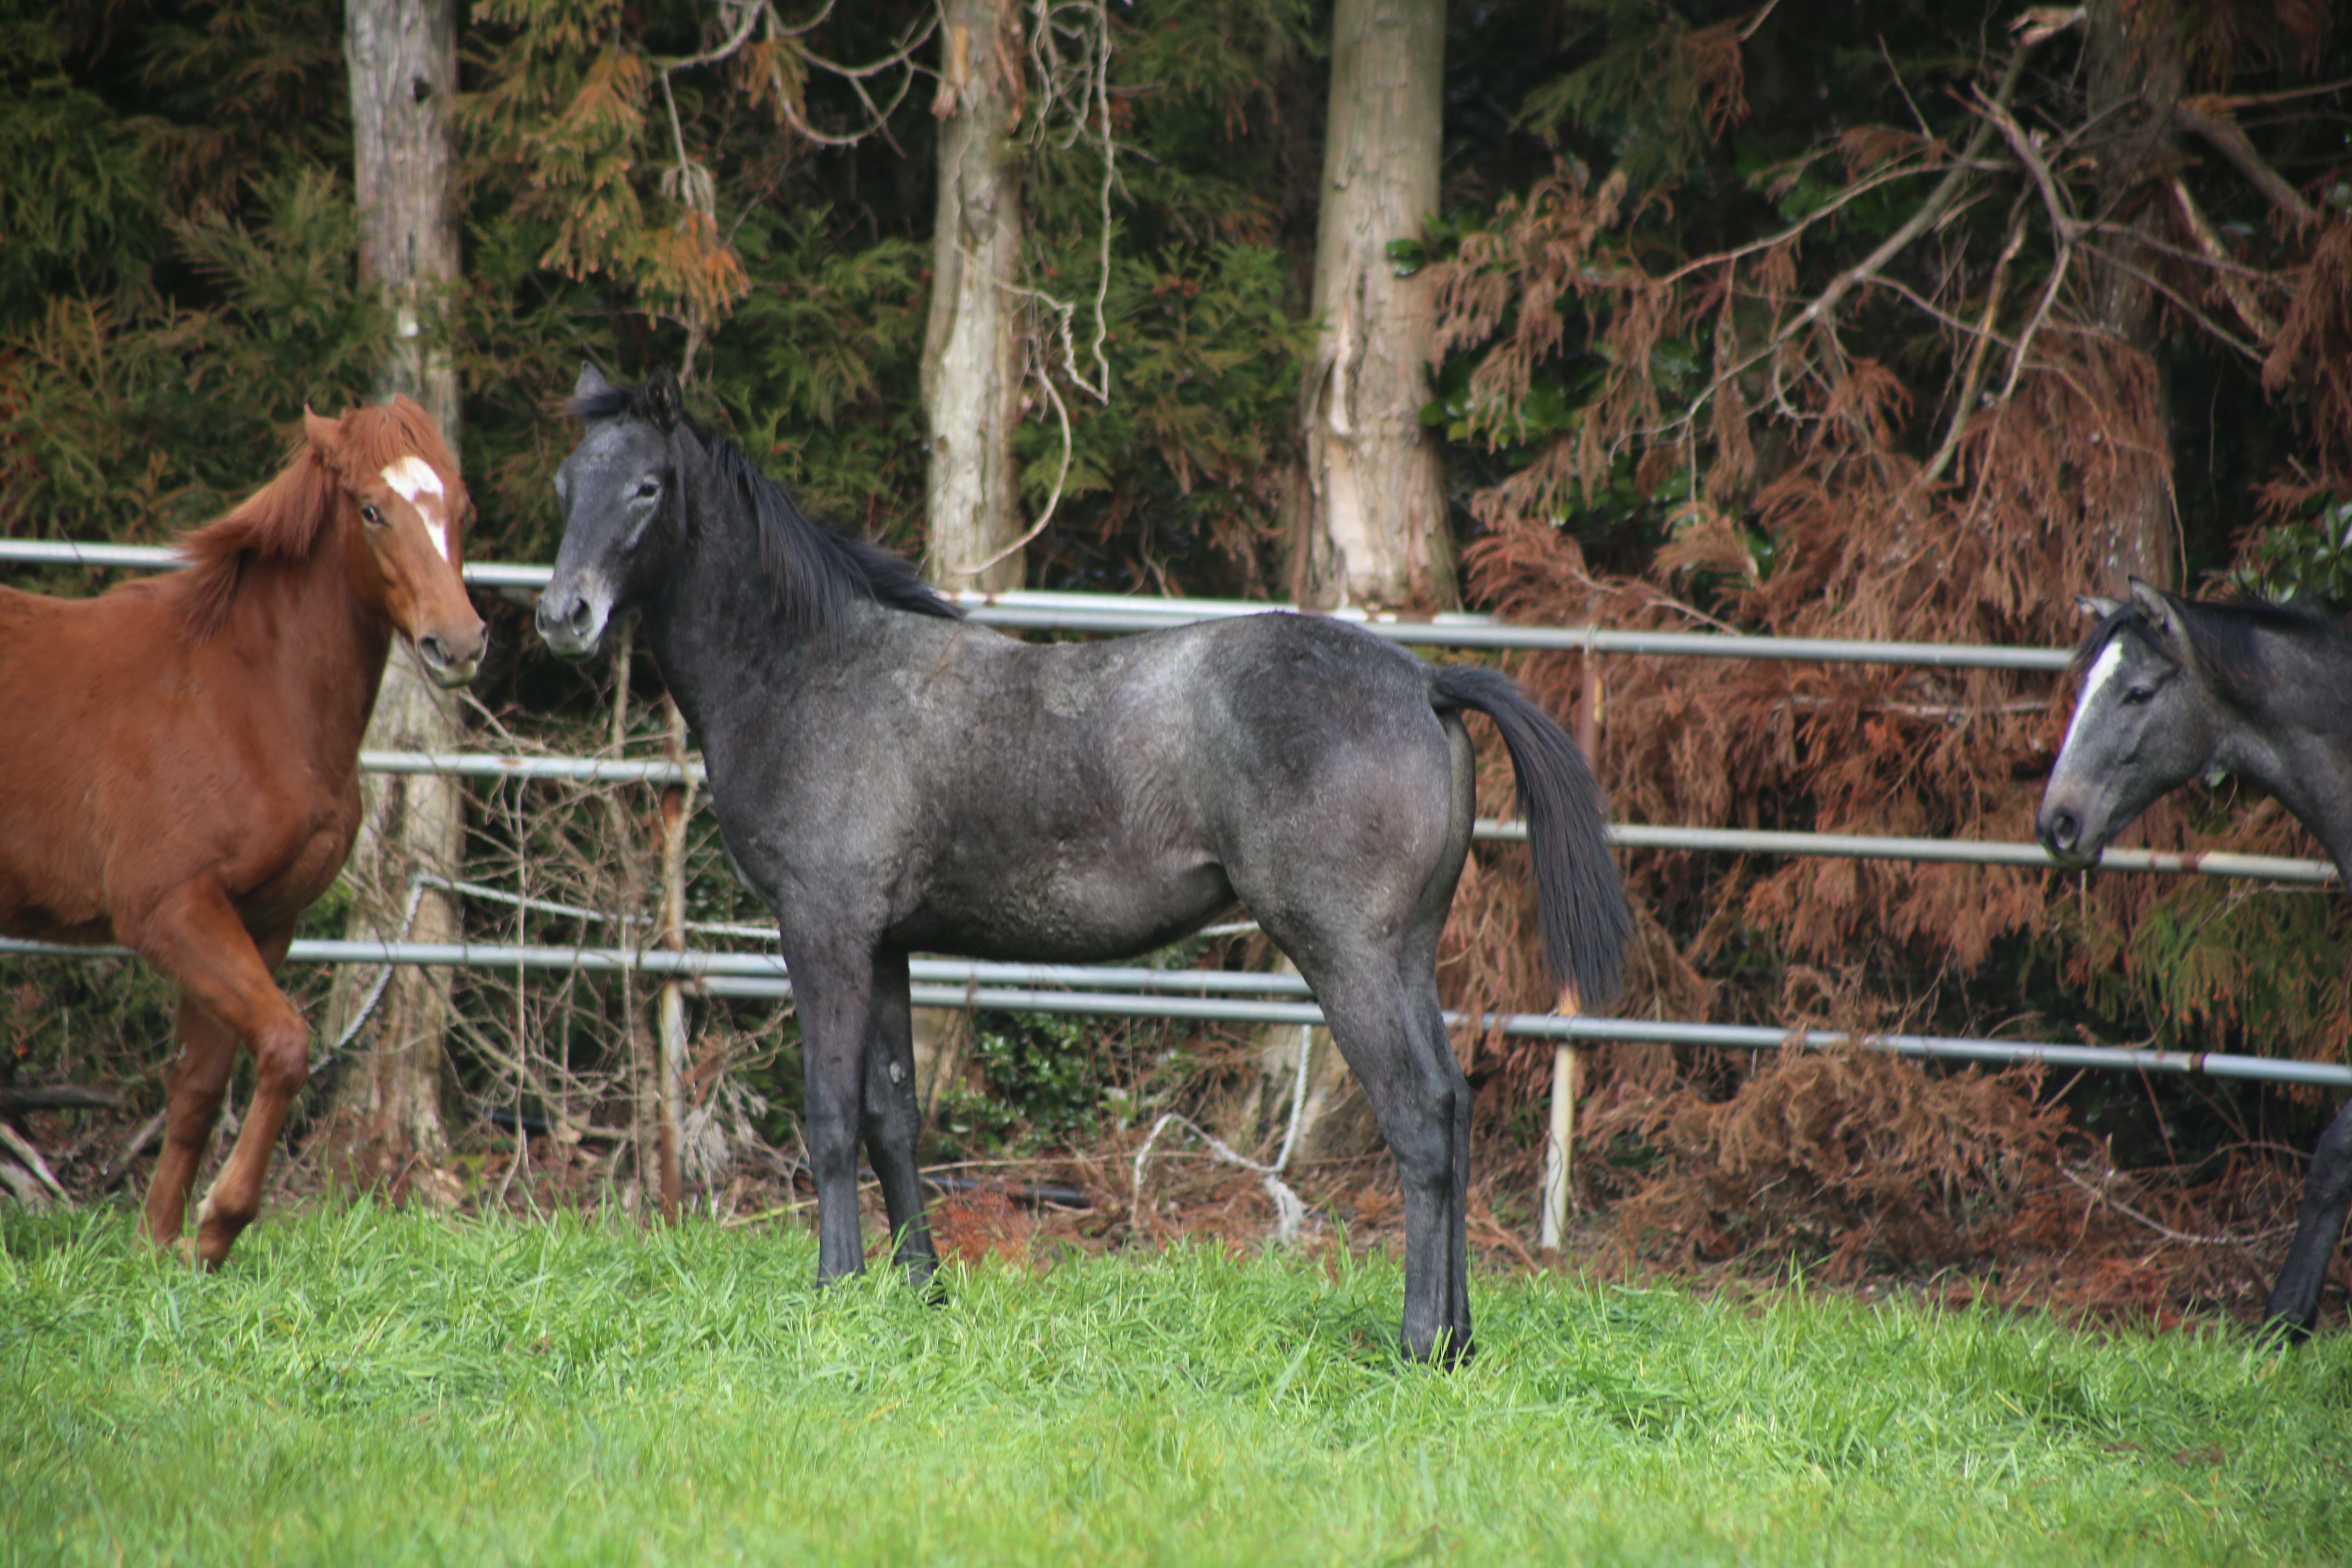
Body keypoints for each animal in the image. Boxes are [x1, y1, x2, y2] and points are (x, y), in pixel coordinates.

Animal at [0, 399, 482, 1269]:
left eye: (462, 510)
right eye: (371, 511)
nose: (457, 646)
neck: (243, 697)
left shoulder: (261, 920)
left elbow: (197, 1089)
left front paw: (163, 1247)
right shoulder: (170, 912)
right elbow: (286, 1044)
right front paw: (220, 1221)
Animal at [539, 364, 1627, 1363]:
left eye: (646, 487)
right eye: (565, 483)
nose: (562, 617)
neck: (813, 671)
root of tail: (1424, 679)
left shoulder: (825, 931)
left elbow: (832, 1113)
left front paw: (834, 1292)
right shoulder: (885, 943)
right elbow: (893, 1114)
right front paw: (920, 1292)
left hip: (1347, 953)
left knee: (1417, 1118)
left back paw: (1414, 1344)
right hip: (1401, 954)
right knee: (1449, 1105)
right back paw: (1458, 1342)